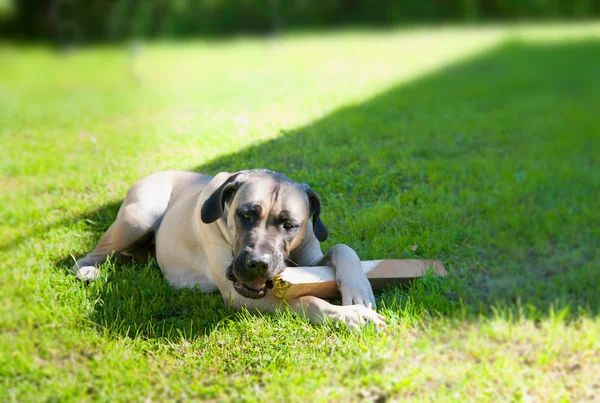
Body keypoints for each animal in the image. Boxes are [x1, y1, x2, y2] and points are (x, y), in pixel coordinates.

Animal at [72, 170, 386, 332]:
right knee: (91, 255)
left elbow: (342, 247)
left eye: (290, 225)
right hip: (139, 216)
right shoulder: (240, 295)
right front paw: (352, 315)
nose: (258, 263)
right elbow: (306, 300)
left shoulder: (310, 256)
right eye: (245, 215)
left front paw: (357, 288)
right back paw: (88, 270)